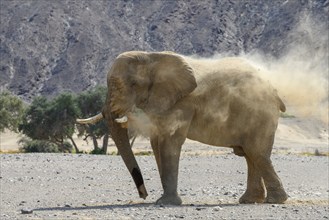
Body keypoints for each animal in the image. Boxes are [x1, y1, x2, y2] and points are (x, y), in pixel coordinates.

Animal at [77, 50, 288, 205]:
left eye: (132, 84)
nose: (143, 195)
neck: (151, 57)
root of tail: (275, 92)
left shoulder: (183, 103)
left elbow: (170, 142)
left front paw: (165, 203)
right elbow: (157, 143)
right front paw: (163, 201)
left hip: (260, 116)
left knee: (256, 152)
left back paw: (275, 201)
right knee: (250, 155)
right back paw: (249, 200)